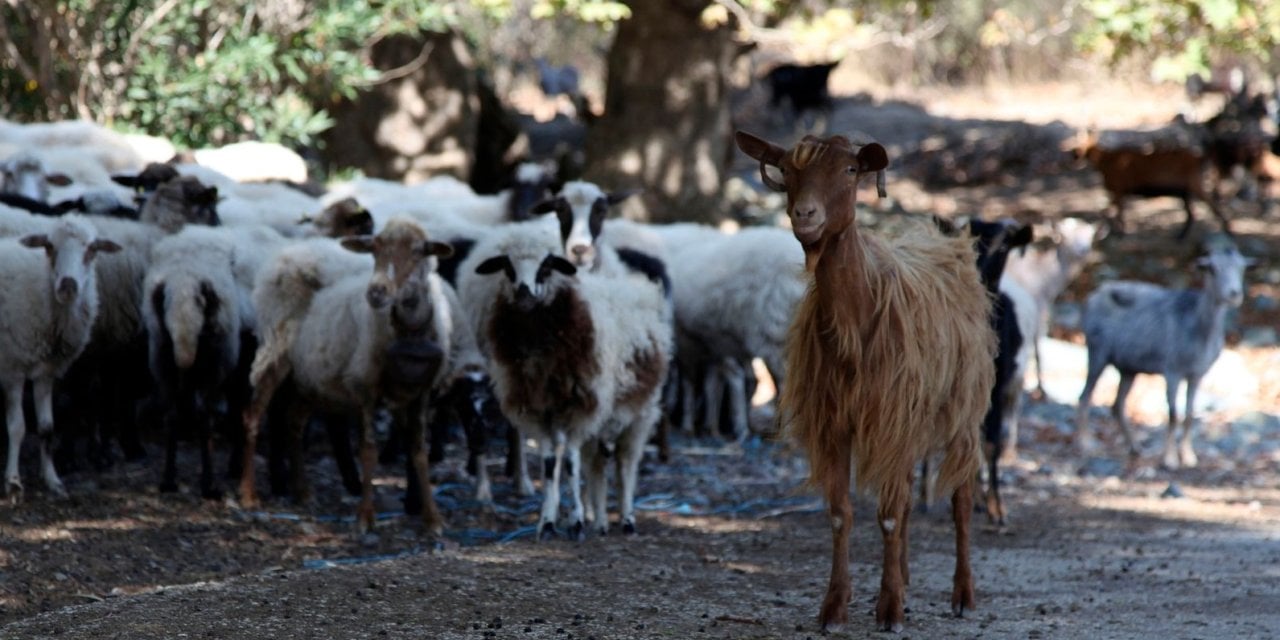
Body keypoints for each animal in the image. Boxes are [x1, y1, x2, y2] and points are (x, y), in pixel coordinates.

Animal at [1, 216, 120, 499]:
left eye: (91, 249)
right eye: (49, 246)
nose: (67, 285)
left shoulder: (46, 371)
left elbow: (47, 428)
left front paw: (52, 481)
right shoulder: (12, 368)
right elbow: (18, 427)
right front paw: (13, 482)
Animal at [737, 131, 993, 634]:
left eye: (851, 170)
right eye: (787, 171)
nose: (805, 215)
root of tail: (946, 242)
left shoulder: (891, 416)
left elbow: (889, 516)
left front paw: (889, 609)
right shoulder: (836, 421)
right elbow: (842, 514)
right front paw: (836, 606)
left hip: (962, 409)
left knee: (960, 497)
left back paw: (963, 594)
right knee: (910, 495)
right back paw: (908, 578)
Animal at [1080, 128, 1228, 239]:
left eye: (1080, 142)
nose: (1075, 154)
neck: (1104, 161)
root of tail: (1199, 158)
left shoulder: (1118, 189)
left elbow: (1112, 212)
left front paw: (1117, 232)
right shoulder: (1118, 192)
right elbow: (1110, 211)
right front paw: (1110, 231)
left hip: (1193, 184)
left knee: (1210, 205)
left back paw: (1226, 227)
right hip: (1185, 191)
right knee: (1192, 213)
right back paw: (1181, 236)